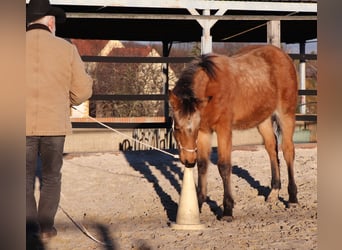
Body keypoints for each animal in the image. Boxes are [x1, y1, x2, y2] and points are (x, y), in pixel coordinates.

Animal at [170, 44, 298, 221]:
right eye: (177, 128)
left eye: (191, 129)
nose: (188, 161)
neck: (211, 86)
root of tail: (284, 56)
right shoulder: (204, 132)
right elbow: (203, 165)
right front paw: (199, 204)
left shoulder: (223, 129)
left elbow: (224, 166)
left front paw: (227, 210)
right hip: (263, 119)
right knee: (272, 148)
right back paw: (274, 192)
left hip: (286, 114)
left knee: (287, 150)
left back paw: (292, 198)